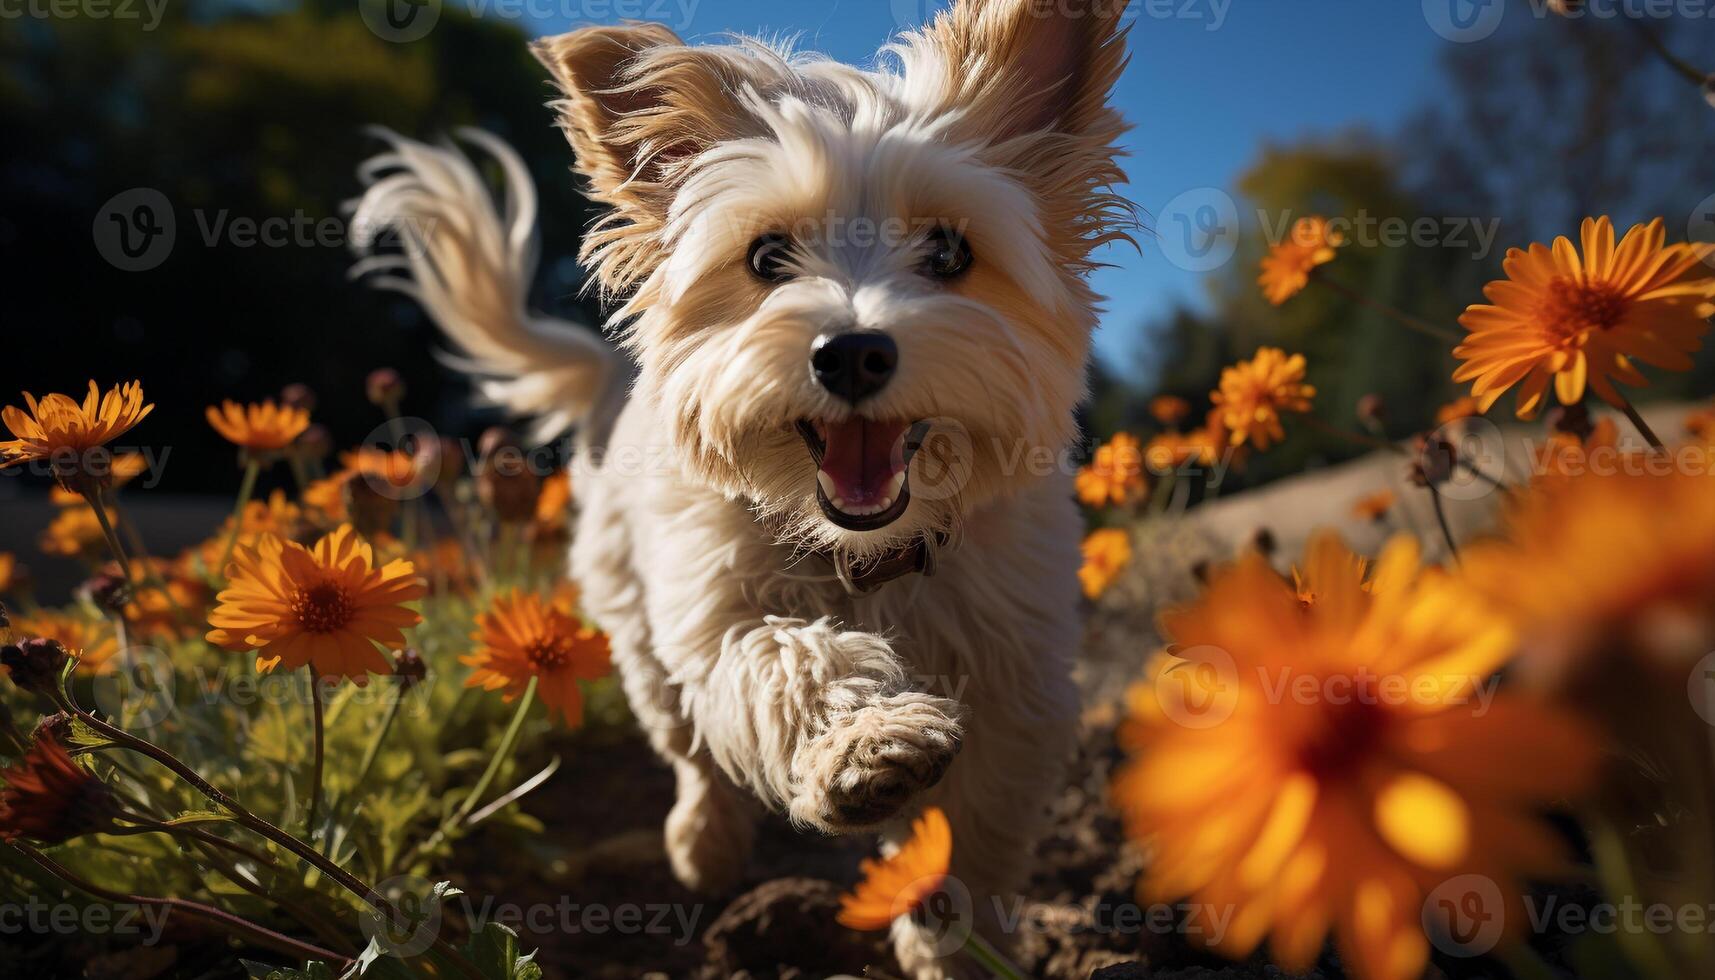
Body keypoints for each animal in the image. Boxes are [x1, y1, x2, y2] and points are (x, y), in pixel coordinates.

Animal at [349, 3, 1131, 974]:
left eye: (950, 250)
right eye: (766, 257)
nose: (851, 352)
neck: (860, 555)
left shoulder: (1020, 674)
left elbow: (977, 828)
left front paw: (955, 943)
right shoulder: (711, 607)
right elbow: (782, 658)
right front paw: (865, 744)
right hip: (636, 628)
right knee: (689, 750)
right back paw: (703, 843)